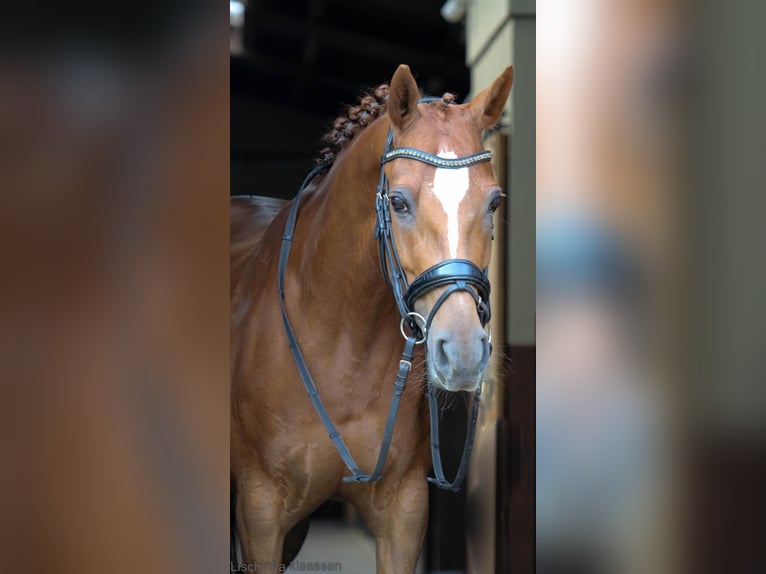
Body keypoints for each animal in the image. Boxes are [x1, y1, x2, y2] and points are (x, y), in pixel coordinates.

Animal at [231, 64, 512, 574]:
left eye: (495, 201)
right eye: (398, 202)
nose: (463, 352)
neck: (343, 345)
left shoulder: (403, 510)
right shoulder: (260, 510)